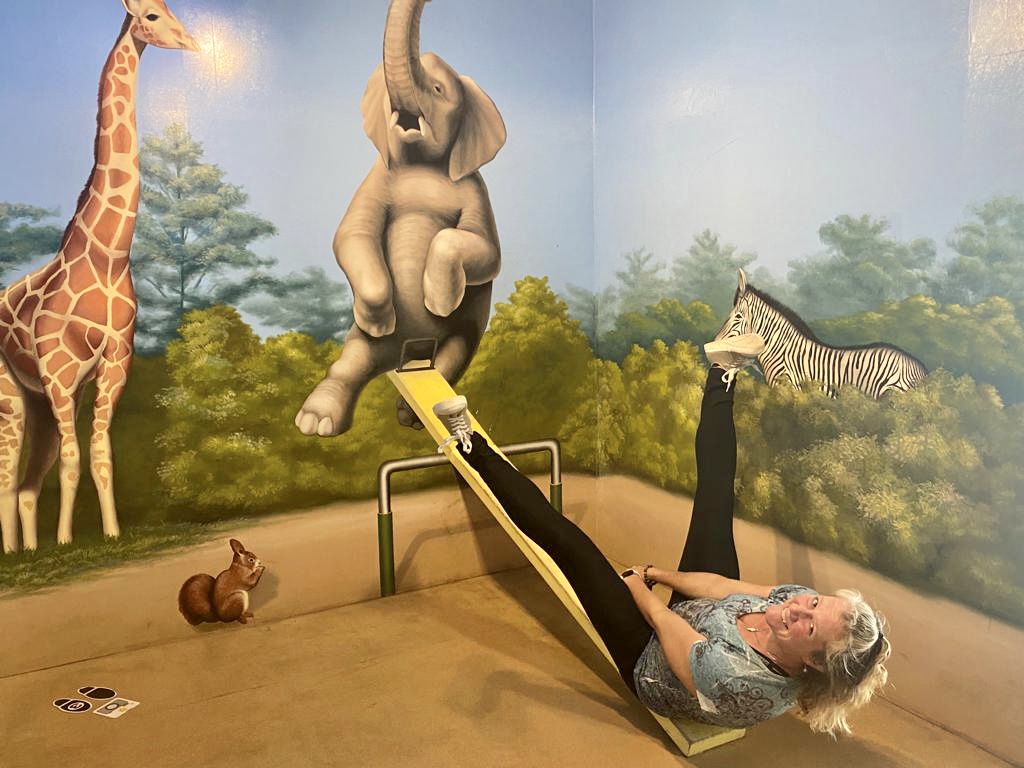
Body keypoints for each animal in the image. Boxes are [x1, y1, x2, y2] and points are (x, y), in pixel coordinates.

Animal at [0, 1, 197, 554]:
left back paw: (27, 550)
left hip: (37, 401)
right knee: (9, 477)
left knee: (26, 485)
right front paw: (69, 541)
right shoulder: (60, 371)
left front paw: (110, 533)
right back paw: (17, 552)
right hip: (11, 396)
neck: (107, 257)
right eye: (150, 15)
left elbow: (101, 455)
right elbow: (72, 462)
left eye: (171, 9)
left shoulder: (113, 364)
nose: (190, 41)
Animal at [295, 0, 506, 437]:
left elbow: (487, 250)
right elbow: (350, 233)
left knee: (451, 359)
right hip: (362, 345)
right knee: (351, 361)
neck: (422, 162)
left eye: (439, 90)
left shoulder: (475, 188)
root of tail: (401, 359)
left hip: (463, 337)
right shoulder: (378, 176)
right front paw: (379, 317)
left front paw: (438, 300)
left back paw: (410, 416)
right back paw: (316, 422)